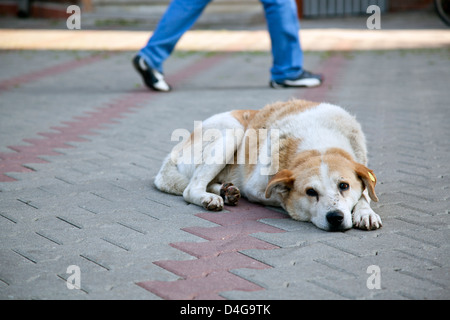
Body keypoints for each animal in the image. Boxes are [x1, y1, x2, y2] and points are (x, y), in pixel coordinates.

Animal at [154, 99, 380, 231]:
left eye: (344, 186)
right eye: (310, 192)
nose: (335, 218)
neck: (318, 143)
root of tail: (174, 151)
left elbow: (364, 193)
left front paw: (365, 212)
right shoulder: (255, 188)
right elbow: (280, 197)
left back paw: (226, 191)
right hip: (232, 132)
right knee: (191, 188)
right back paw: (210, 197)